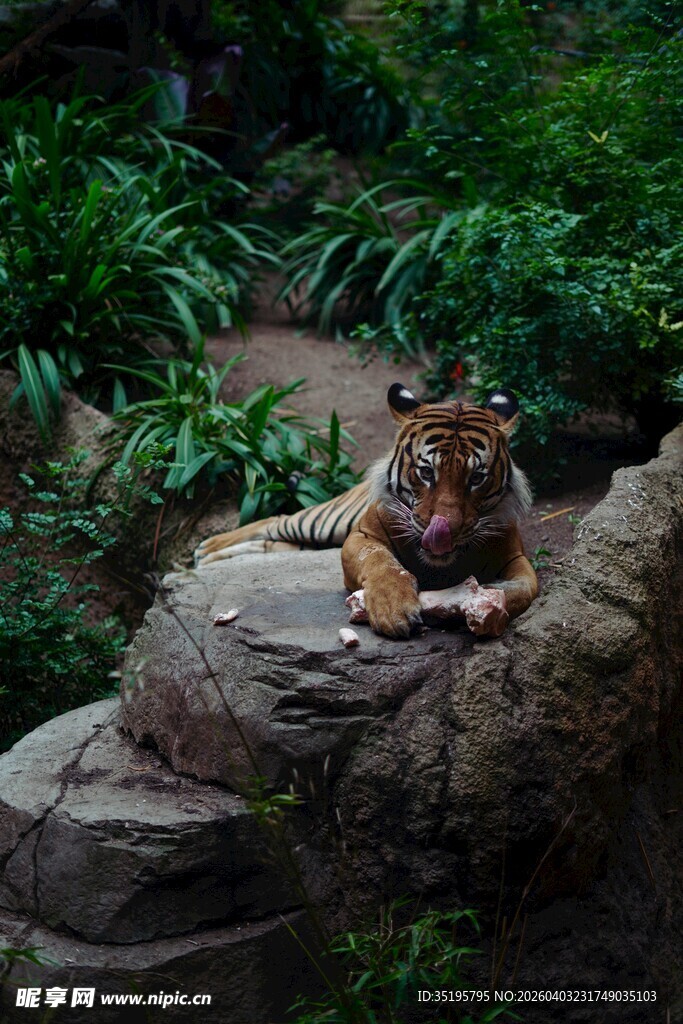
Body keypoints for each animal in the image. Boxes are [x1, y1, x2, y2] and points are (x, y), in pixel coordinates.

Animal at [194, 383, 538, 639]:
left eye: (476, 478)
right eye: (427, 472)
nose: (445, 532)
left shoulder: (516, 557)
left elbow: (526, 589)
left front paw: (484, 605)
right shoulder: (360, 535)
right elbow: (379, 562)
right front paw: (393, 609)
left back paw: (210, 558)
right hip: (326, 521)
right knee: (276, 520)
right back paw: (206, 549)